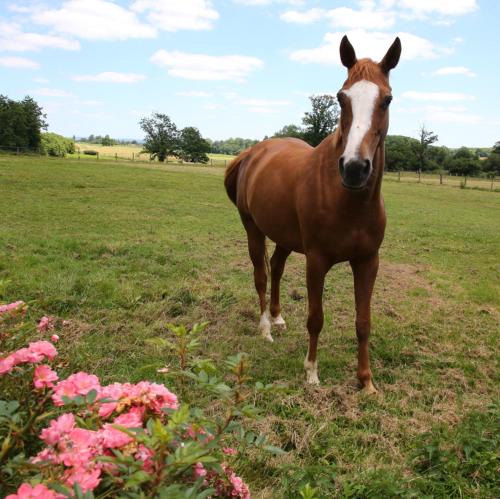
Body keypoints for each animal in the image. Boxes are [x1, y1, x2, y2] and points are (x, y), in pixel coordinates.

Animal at [226, 36, 402, 394]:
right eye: (341, 97)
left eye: (387, 99)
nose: (354, 168)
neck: (347, 201)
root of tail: (253, 153)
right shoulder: (317, 261)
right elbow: (316, 318)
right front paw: (311, 372)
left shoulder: (368, 262)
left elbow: (363, 322)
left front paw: (366, 381)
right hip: (253, 229)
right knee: (261, 275)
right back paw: (265, 328)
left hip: (284, 237)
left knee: (276, 268)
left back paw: (278, 318)